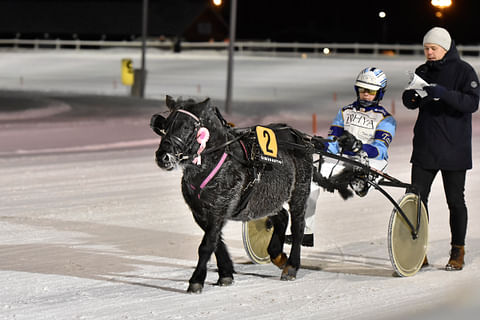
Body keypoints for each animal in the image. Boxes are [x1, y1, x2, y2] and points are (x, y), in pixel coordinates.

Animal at [152, 96, 314, 294]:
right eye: (165, 126)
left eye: (186, 127)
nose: (163, 156)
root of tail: (299, 138)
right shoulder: (200, 211)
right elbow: (216, 242)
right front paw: (226, 273)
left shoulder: (220, 207)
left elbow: (207, 244)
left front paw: (196, 280)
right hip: (267, 197)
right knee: (281, 217)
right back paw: (277, 255)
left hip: (299, 190)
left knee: (298, 226)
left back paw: (291, 266)